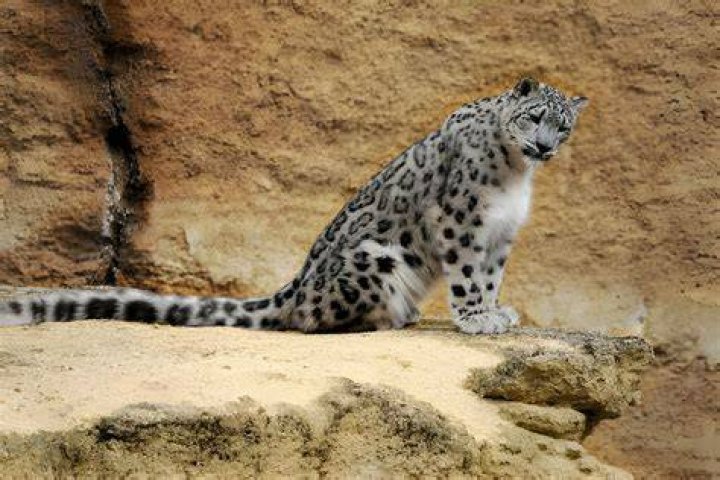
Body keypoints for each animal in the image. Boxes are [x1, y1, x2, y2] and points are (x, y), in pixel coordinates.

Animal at [0, 77, 587, 334]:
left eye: (564, 126)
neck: (515, 173)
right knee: (310, 321)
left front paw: (495, 310)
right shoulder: (460, 221)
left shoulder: (500, 233)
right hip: (375, 260)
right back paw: (389, 318)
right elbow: (467, 276)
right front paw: (476, 318)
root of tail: (297, 284)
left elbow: (489, 276)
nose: (545, 147)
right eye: (535, 116)